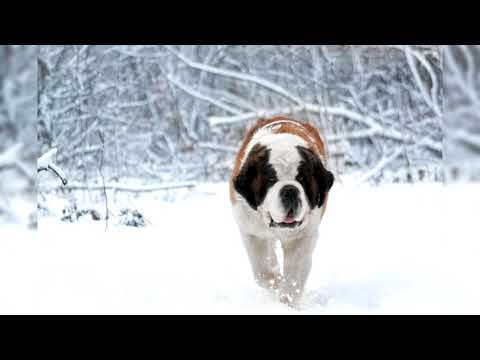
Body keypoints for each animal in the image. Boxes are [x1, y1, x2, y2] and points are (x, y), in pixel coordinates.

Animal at [231, 116, 336, 306]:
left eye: (301, 178)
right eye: (271, 179)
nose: (290, 190)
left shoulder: (303, 236)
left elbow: (294, 274)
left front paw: (287, 300)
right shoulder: (251, 232)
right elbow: (262, 271)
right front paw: (276, 282)